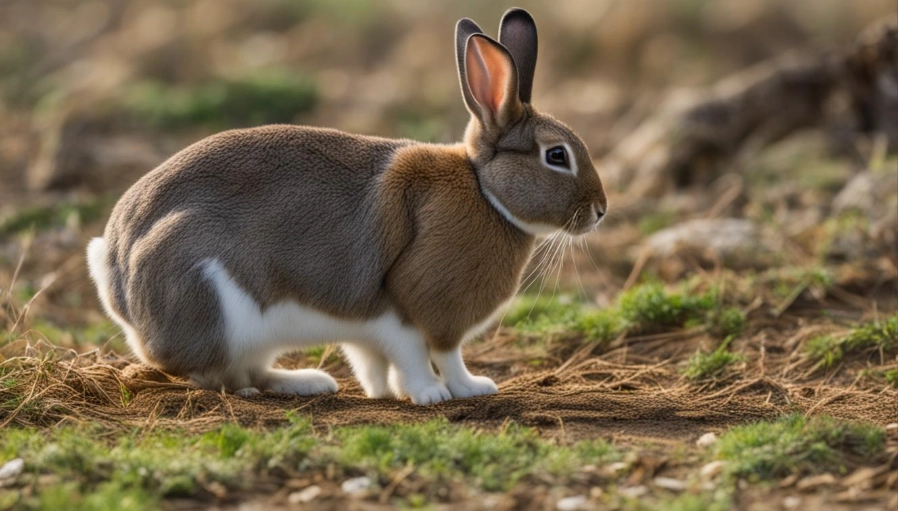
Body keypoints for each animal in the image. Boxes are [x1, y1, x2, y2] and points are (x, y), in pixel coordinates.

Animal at [87, 7, 607, 405]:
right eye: (556, 156)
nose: (601, 210)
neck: (485, 192)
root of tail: (115, 273)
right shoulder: (412, 311)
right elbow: (435, 357)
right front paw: (447, 392)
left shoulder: (371, 329)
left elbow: (377, 361)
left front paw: (390, 392)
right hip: (214, 302)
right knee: (216, 373)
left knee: (250, 368)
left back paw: (306, 382)